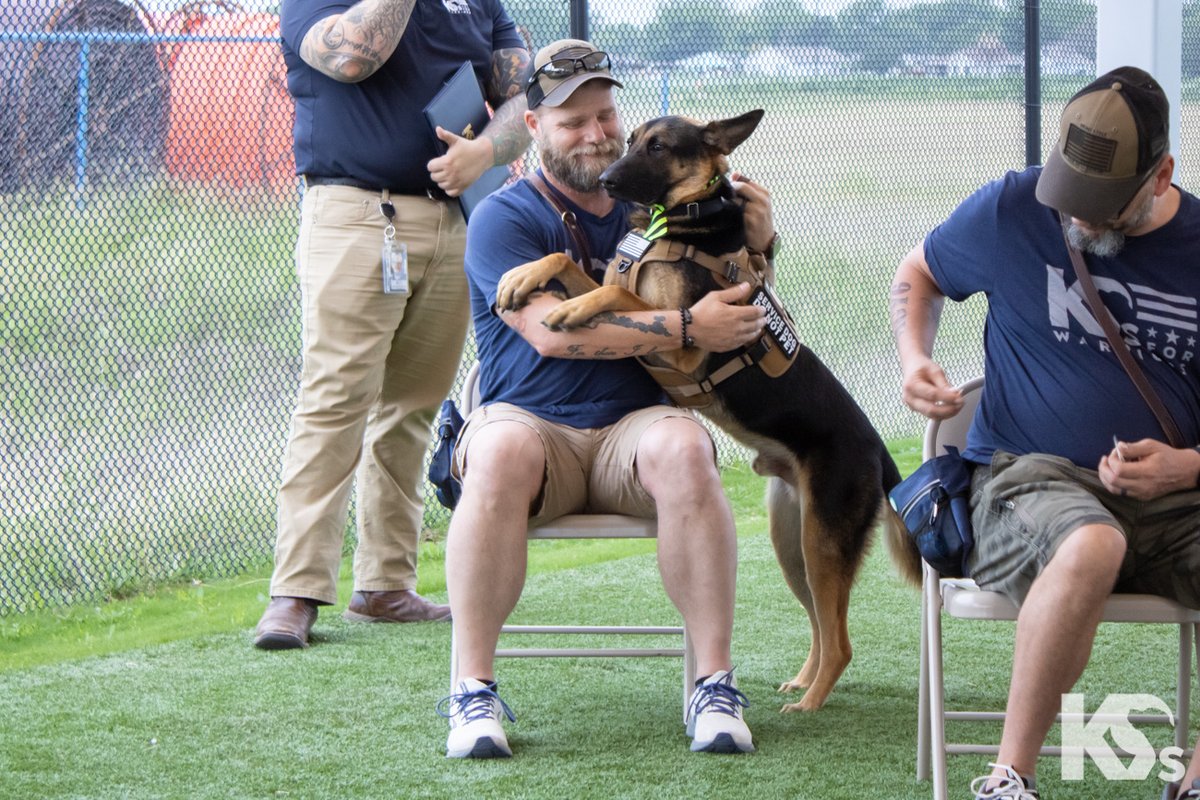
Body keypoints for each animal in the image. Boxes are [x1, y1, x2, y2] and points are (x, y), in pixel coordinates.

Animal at [496, 109, 916, 710]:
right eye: (629, 141)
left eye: (660, 146)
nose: (605, 181)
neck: (679, 219)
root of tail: (880, 454)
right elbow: (566, 262)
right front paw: (523, 276)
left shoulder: (680, 342)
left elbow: (618, 296)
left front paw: (573, 308)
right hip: (794, 542)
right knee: (821, 623)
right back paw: (804, 682)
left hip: (823, 540)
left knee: (840, 640)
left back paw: (810, 704)